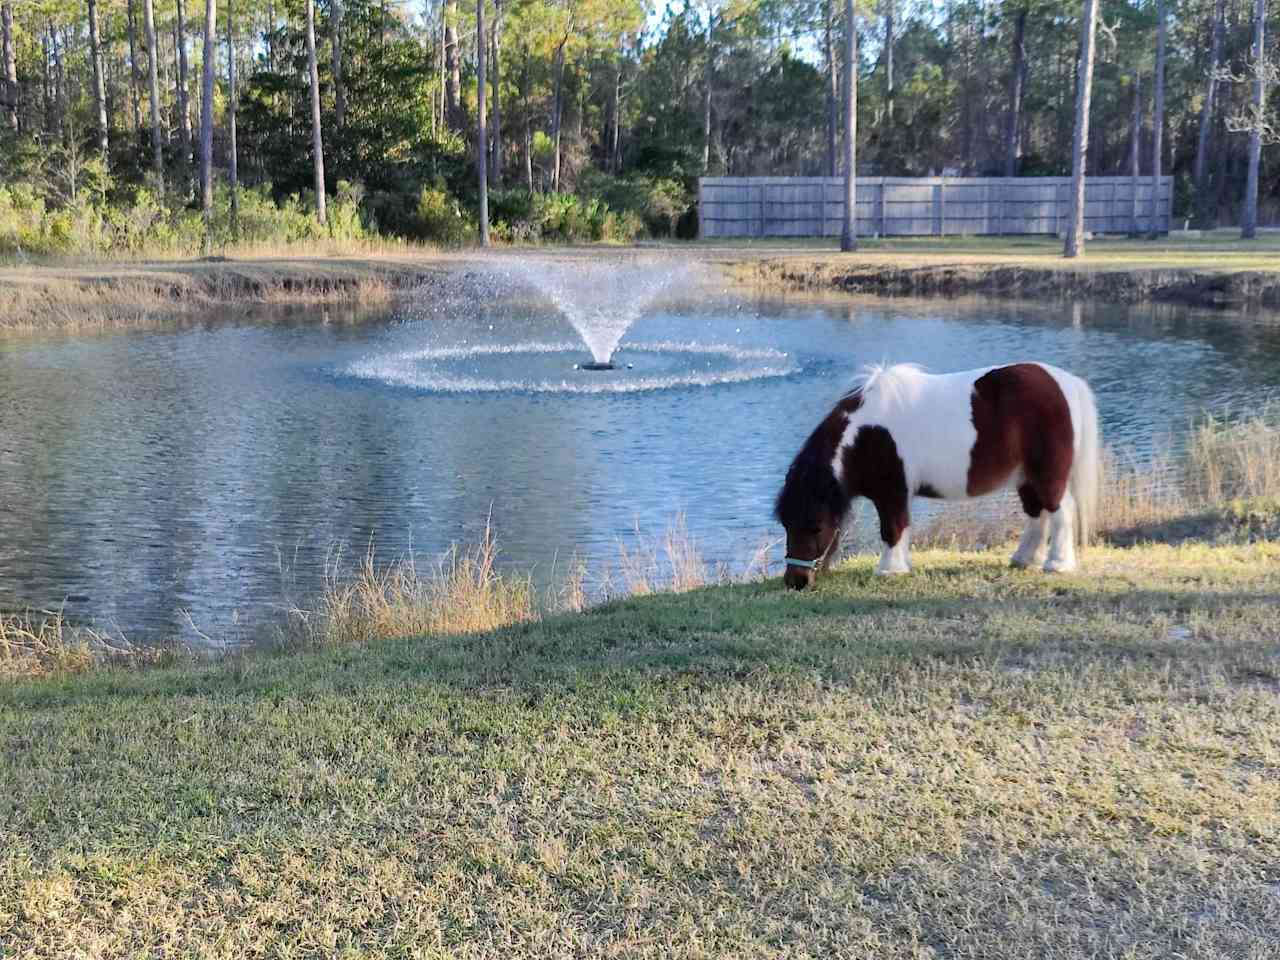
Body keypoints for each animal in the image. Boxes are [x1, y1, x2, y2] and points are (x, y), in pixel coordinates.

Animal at [773, 363, 1105, 591]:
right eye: (785, 523)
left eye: (816, 527)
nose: (796, 581)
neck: (864, 434)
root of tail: (1066, 383)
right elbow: (901, 529)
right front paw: (900, 566)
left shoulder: (892, 491)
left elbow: (892, 530)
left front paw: (889, 570)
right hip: (1025, 477)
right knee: (1037, 515)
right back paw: (1024, 559)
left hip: (1047, 475)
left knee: (1061, 512)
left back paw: (1057, 565)